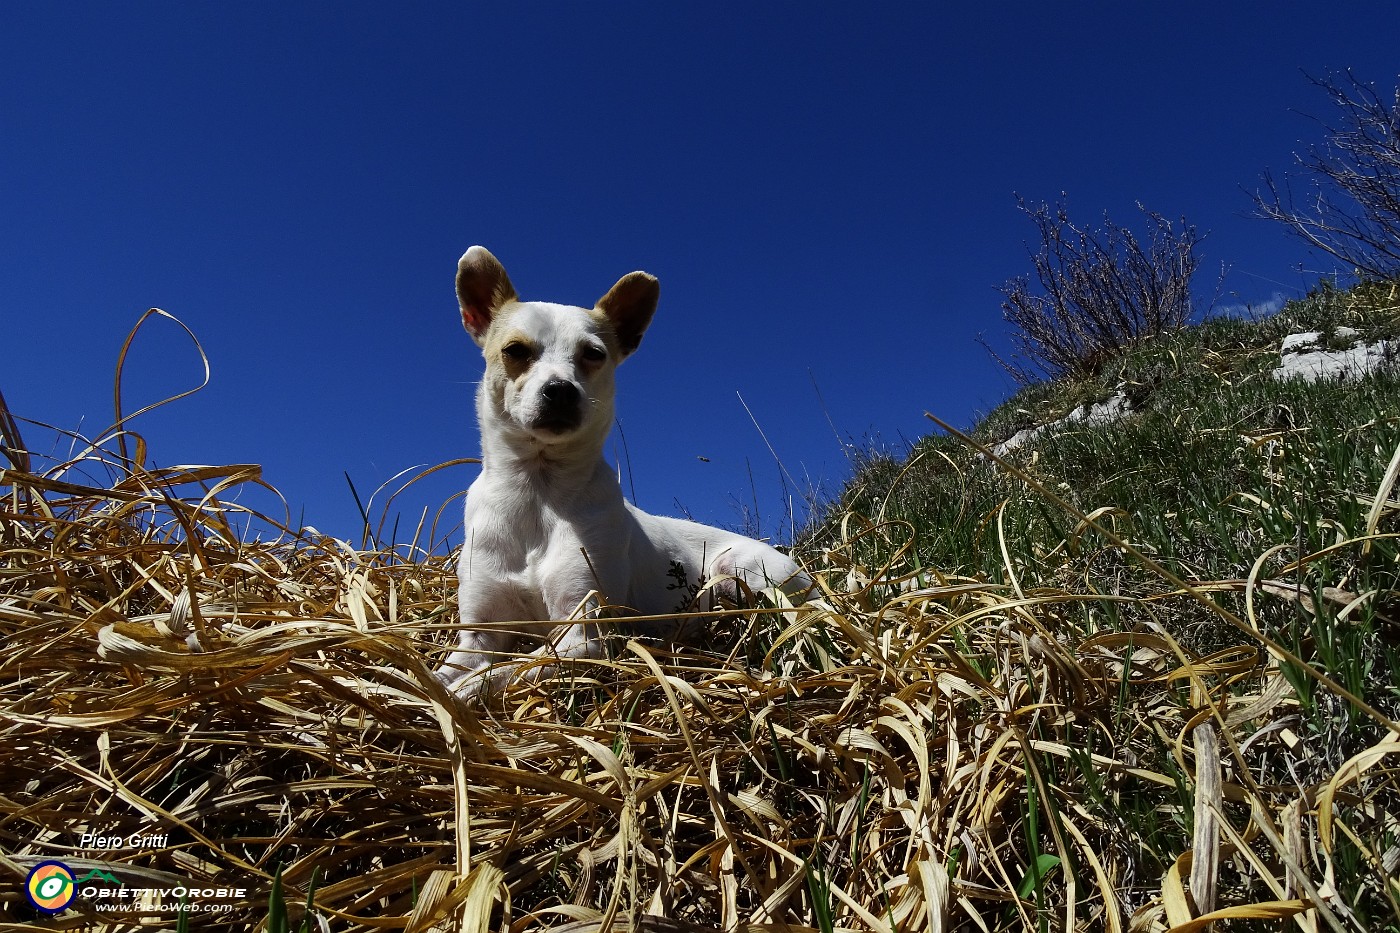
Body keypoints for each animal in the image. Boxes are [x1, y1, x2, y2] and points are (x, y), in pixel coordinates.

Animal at [436, 243, 812, 694]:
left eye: (594, 354)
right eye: (515, 351)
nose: (561, 390)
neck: (537, 494)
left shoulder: (584, 633)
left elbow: (504, 673)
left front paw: (459, 693)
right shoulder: (478, 635)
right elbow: (442, 672)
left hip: (744, 570)